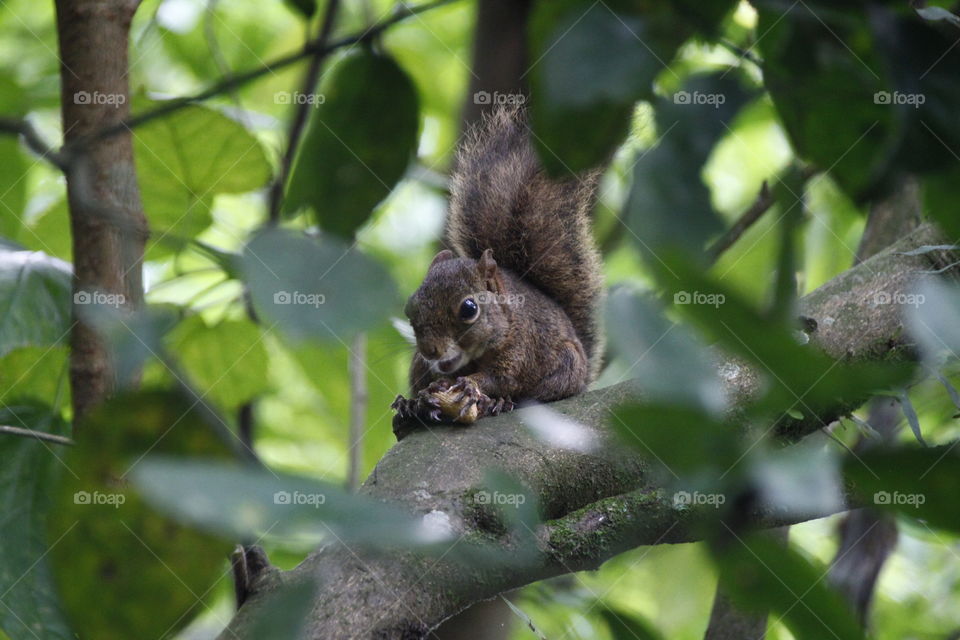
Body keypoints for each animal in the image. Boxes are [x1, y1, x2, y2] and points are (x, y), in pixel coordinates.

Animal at [388, 106, 600, 430]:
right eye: (410, 309)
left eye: (469, 309)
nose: (430, 350)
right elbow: (435, 380)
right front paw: (425, 396)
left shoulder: (521, 348)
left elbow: (500, 378)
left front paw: (471, 386)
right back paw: (412, 406)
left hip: (566, 365)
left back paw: (500, 403)